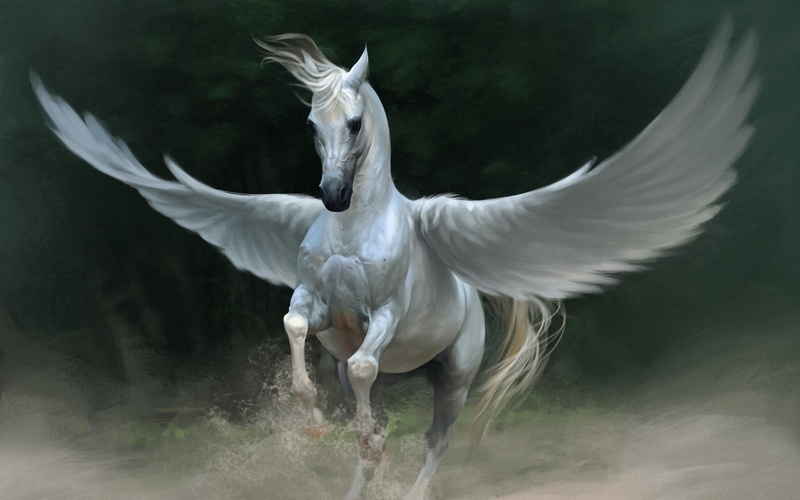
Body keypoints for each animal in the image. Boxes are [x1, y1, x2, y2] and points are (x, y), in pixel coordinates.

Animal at [32, 19, 756, 499]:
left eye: (354, 123)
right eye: (311, 124)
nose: (331, 194)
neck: (355, 228)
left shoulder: (381, 315)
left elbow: (361, 366)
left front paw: (345, 434)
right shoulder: (320, 306)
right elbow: (301, 333)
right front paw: (312, 422)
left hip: (454, 378)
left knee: (433, 439)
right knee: (376, 407)